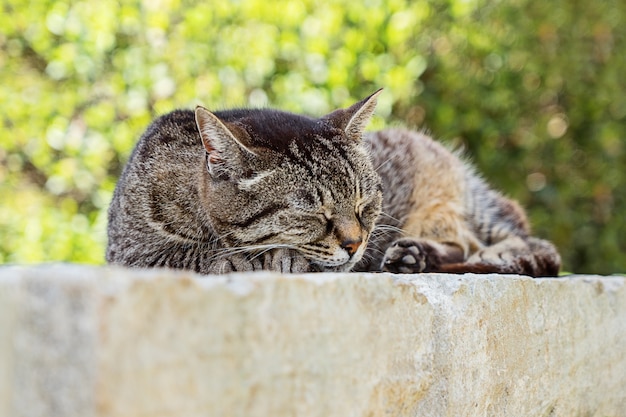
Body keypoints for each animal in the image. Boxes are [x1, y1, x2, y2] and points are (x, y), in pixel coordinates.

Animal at [105, 89, 560, 274]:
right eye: (313, 214)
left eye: (364, 204)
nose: (356, 244)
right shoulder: (131, 256)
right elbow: (199, 254)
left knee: (515, 245)